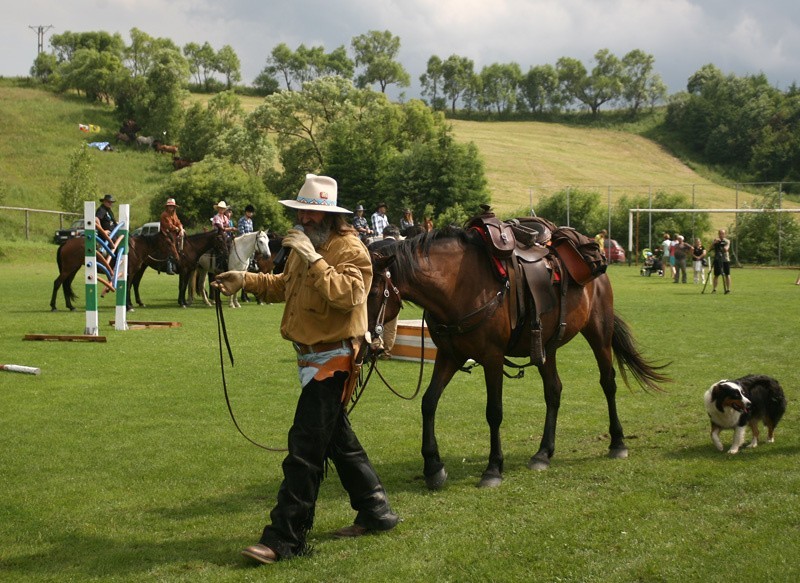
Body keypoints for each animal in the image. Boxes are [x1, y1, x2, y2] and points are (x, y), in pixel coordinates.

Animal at [368, 226, 668, 490]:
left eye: (374, 291)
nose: (366, 340)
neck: (459, 286)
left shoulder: (492, 357)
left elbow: (494, 411)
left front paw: (493, 469)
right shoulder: (449, 355)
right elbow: (429, 402)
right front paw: (433, 468)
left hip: (598, 332)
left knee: (608, 382)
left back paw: (617, 443)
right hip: (547, 346)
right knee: (554, 390)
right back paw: (543, 453)